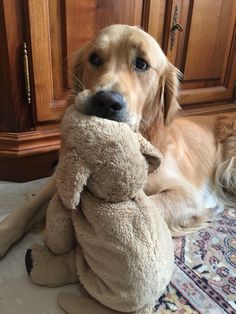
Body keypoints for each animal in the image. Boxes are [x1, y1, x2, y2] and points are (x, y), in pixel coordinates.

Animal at [0, 25, 236, 258]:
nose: (106, 101)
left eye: (141, 64)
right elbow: (29, 207)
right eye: (94, 58)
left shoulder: (188, 195)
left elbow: (144, 209)